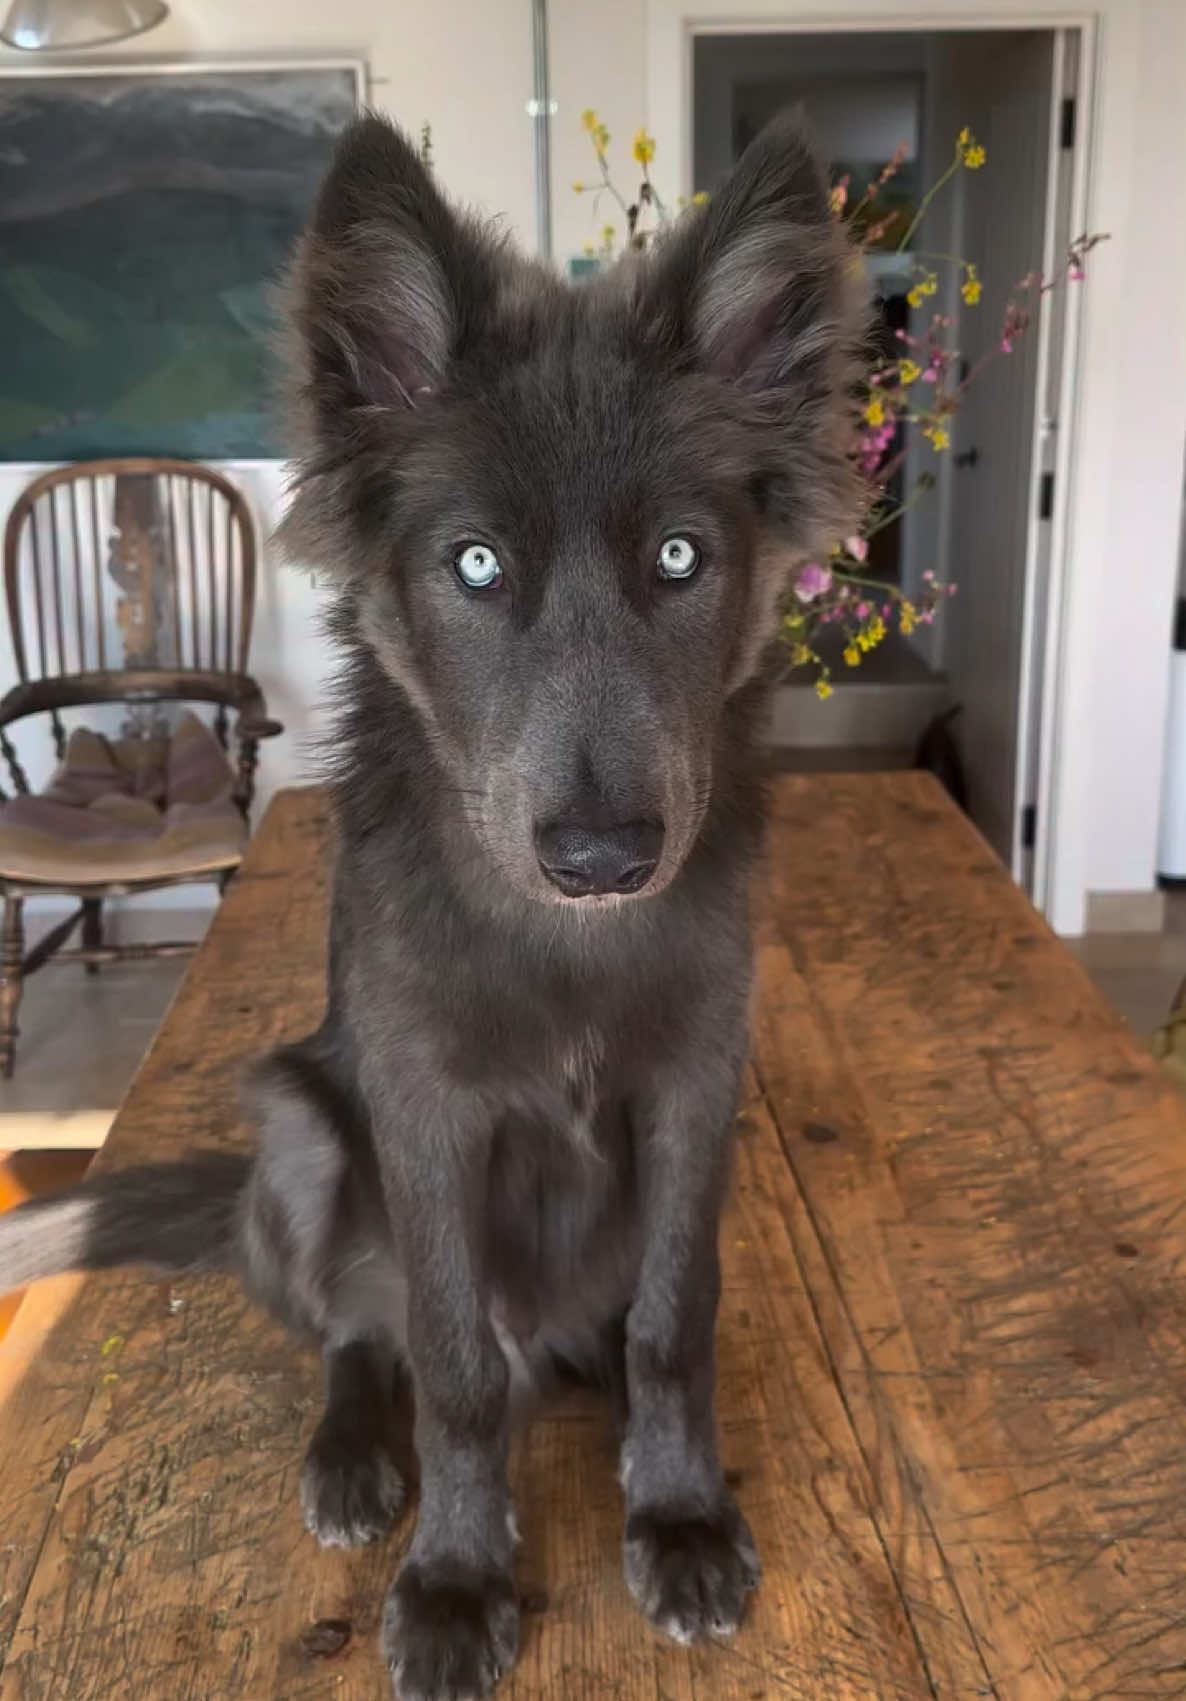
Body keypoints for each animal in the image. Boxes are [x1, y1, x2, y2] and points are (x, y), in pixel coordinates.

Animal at [0, 111, 864, 1700]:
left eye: (679, 557)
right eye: (474, 565)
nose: (602, 856)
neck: (564, 947)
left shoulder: (694, 1090)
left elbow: (675, 1323)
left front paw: (676, 1510)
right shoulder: (424, 1115)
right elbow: (452, 1371)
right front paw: (459, 1580)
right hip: (297, 1126)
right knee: (361, 1332)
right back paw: (352, 1453)